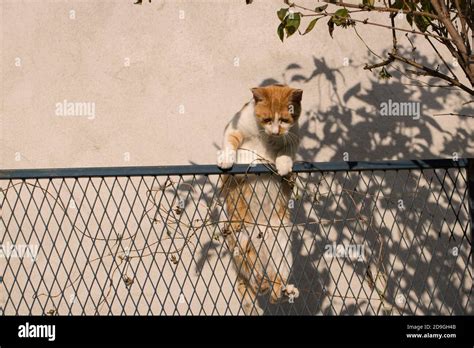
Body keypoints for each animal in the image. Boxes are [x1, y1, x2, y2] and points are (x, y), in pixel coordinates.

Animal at [217, 84, 302, 316]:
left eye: (284, 120)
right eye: (266, 119)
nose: (276, 131)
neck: (266, 137)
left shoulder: (293, 138)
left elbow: (286, 153)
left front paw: (284, 166)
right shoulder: (234, 129)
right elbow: (231, 145)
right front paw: (227, 160)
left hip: (282, 250)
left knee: (274, 283)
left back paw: (285, 290)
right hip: (241, 240)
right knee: (252, 275)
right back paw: (260, 281)